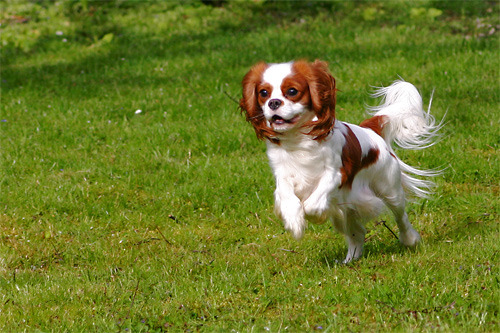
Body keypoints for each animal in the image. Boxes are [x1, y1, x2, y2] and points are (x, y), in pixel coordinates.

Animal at [240, 60, 440, 262]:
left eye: (292, 91)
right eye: (263, 93)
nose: (273, 102)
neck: (298, 138)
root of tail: (370, 129)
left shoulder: (335, 174)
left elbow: (312, 205)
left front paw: (313, 216)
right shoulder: (283, 175)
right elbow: (288, 196)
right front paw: (294, 222)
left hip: (389, 188)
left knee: (401, 216)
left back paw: (410, 240)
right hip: (346, 209)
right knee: (357, 232)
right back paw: (349, 260)